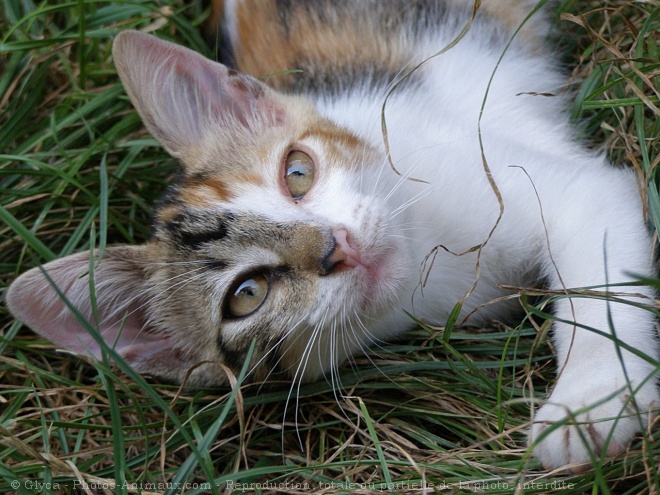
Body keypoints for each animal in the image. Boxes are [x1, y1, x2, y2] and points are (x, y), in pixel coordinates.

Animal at [3, 0, 656, 472]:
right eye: (246, 294)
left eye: (297, 172)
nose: (335, 248)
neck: (428, 262)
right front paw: (591, 402)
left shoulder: (537, 179)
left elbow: (599, 275)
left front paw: (588, 403)